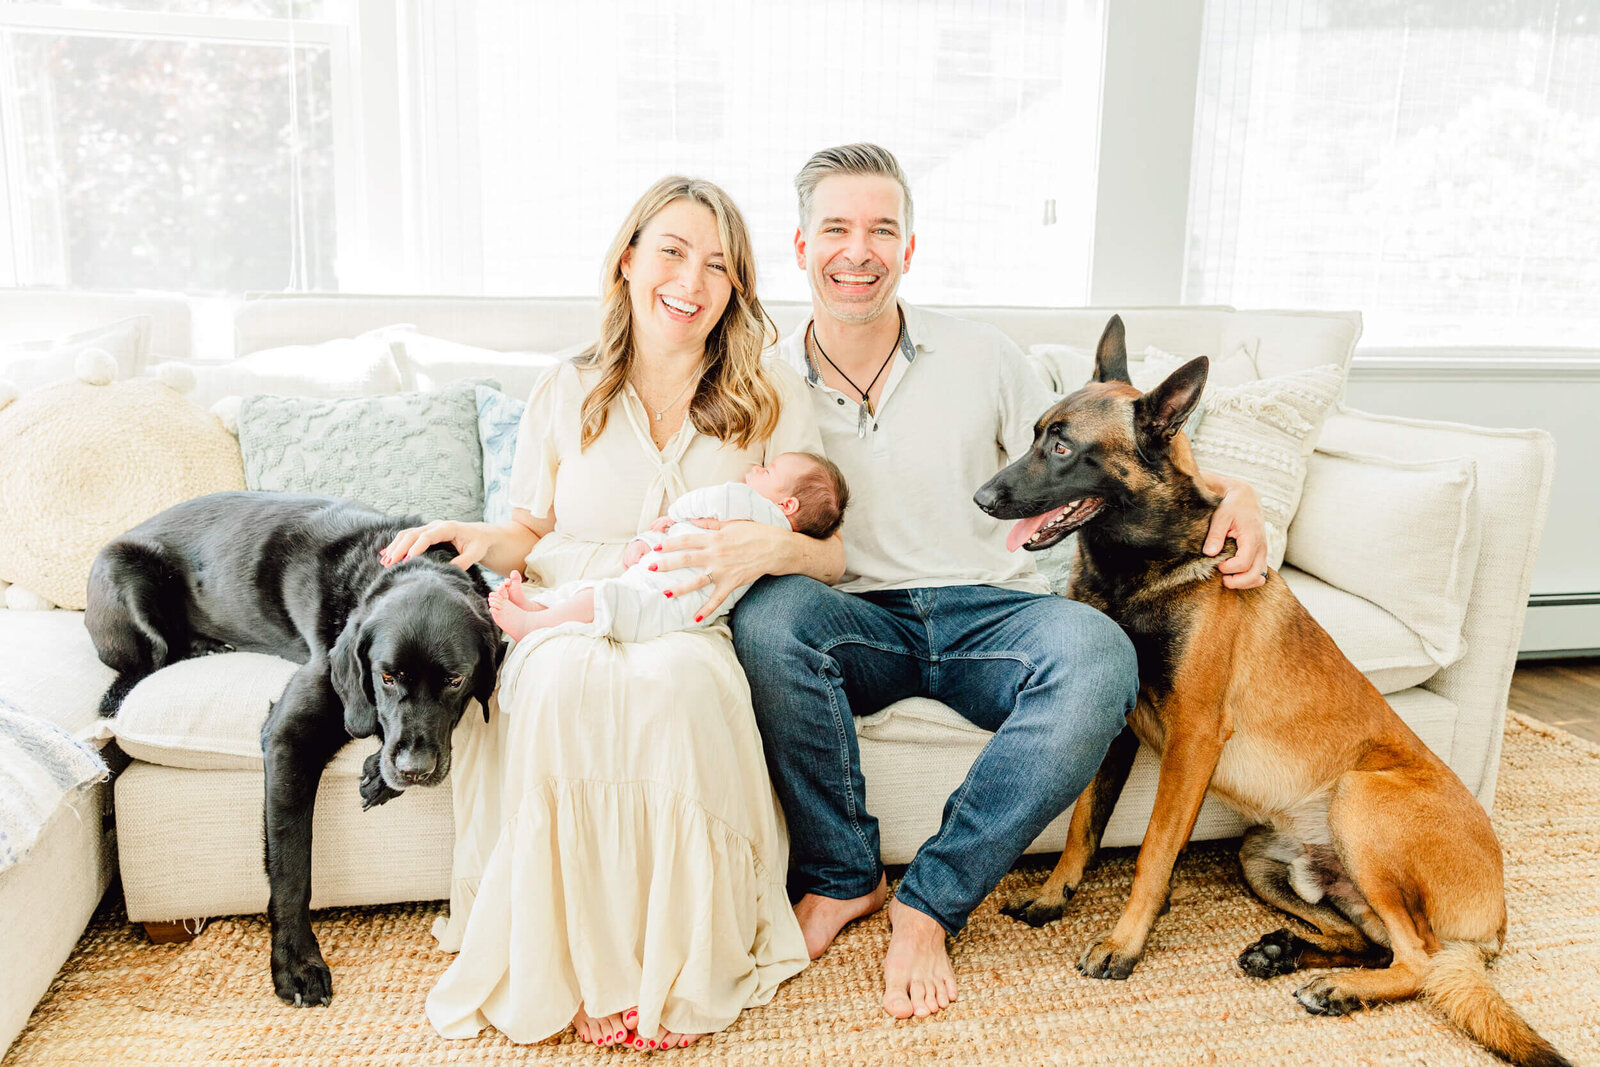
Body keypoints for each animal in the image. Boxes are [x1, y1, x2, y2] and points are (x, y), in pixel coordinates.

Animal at [82, 492, 505, 1011]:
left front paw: (379, 774)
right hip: (127, 581)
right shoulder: (289, 734)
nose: (415, 770)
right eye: (387, 676)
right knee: (157, 656)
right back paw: (203, 648)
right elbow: (292, 866)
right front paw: (296, 964)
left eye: (455, 680)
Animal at [966, 316, 1568, 1067]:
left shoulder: (1193, 740)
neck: (1142, 568)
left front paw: (1124, 942)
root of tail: (1499, 921)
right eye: (1034, 435)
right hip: (1260, 857)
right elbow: (1082, 826)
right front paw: (1053, 898)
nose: (981, 499)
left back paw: (1337, 989)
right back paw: (1288, 953)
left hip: (1359, 799)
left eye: (1063, 446)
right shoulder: (1115, 732)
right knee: (1371, 940)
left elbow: (1152, 854)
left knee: (1423, 961)